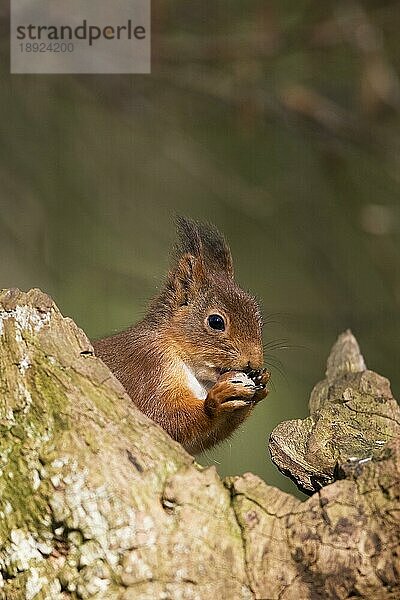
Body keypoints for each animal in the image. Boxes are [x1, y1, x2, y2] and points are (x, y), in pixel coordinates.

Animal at [93, 220, 268, 454]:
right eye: (216, 322)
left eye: (259, 320)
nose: (254, 363)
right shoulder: (148, 367)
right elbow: (157, 417)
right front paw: (216, 402)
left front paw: (260, 385)